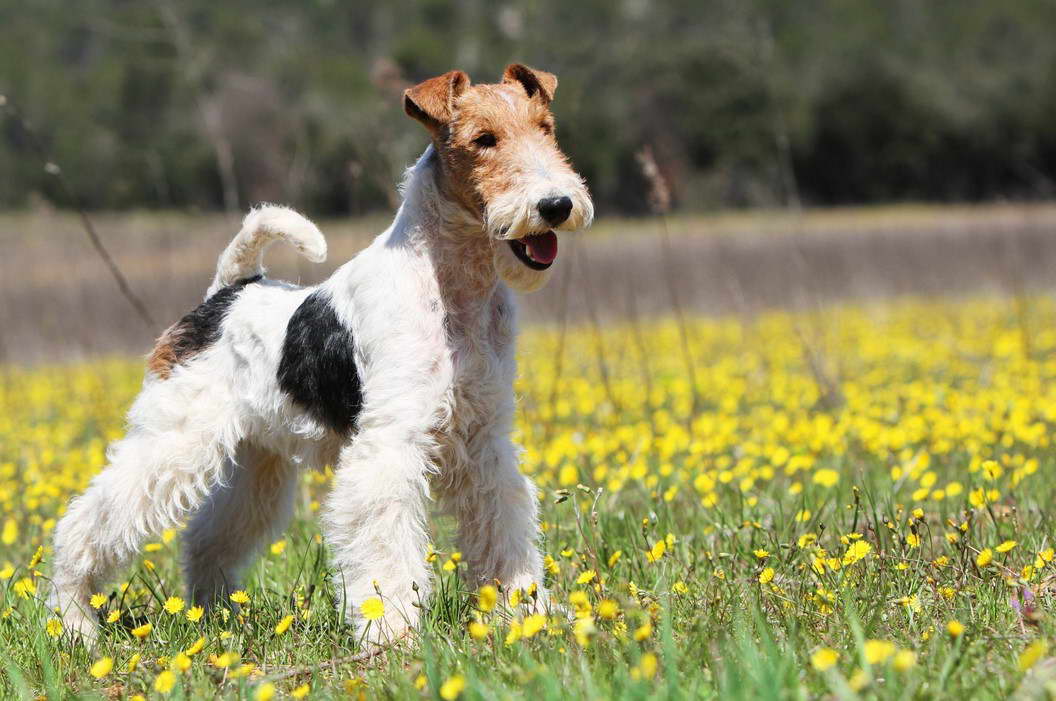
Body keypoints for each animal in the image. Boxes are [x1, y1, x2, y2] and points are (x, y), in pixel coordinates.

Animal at [49, 65, 595, 650]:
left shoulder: (485, 441)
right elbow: (385, 546)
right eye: (483, 140)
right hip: (173, 442)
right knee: (85, 523)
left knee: (206, 539)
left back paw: (216, 615)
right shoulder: (389, 444)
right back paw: (75, 620)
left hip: (255, 465)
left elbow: (503, 525)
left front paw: (524, 610)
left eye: (545, 129)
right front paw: (391, 631)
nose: (556, 205)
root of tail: (226, 293)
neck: (452, 284)